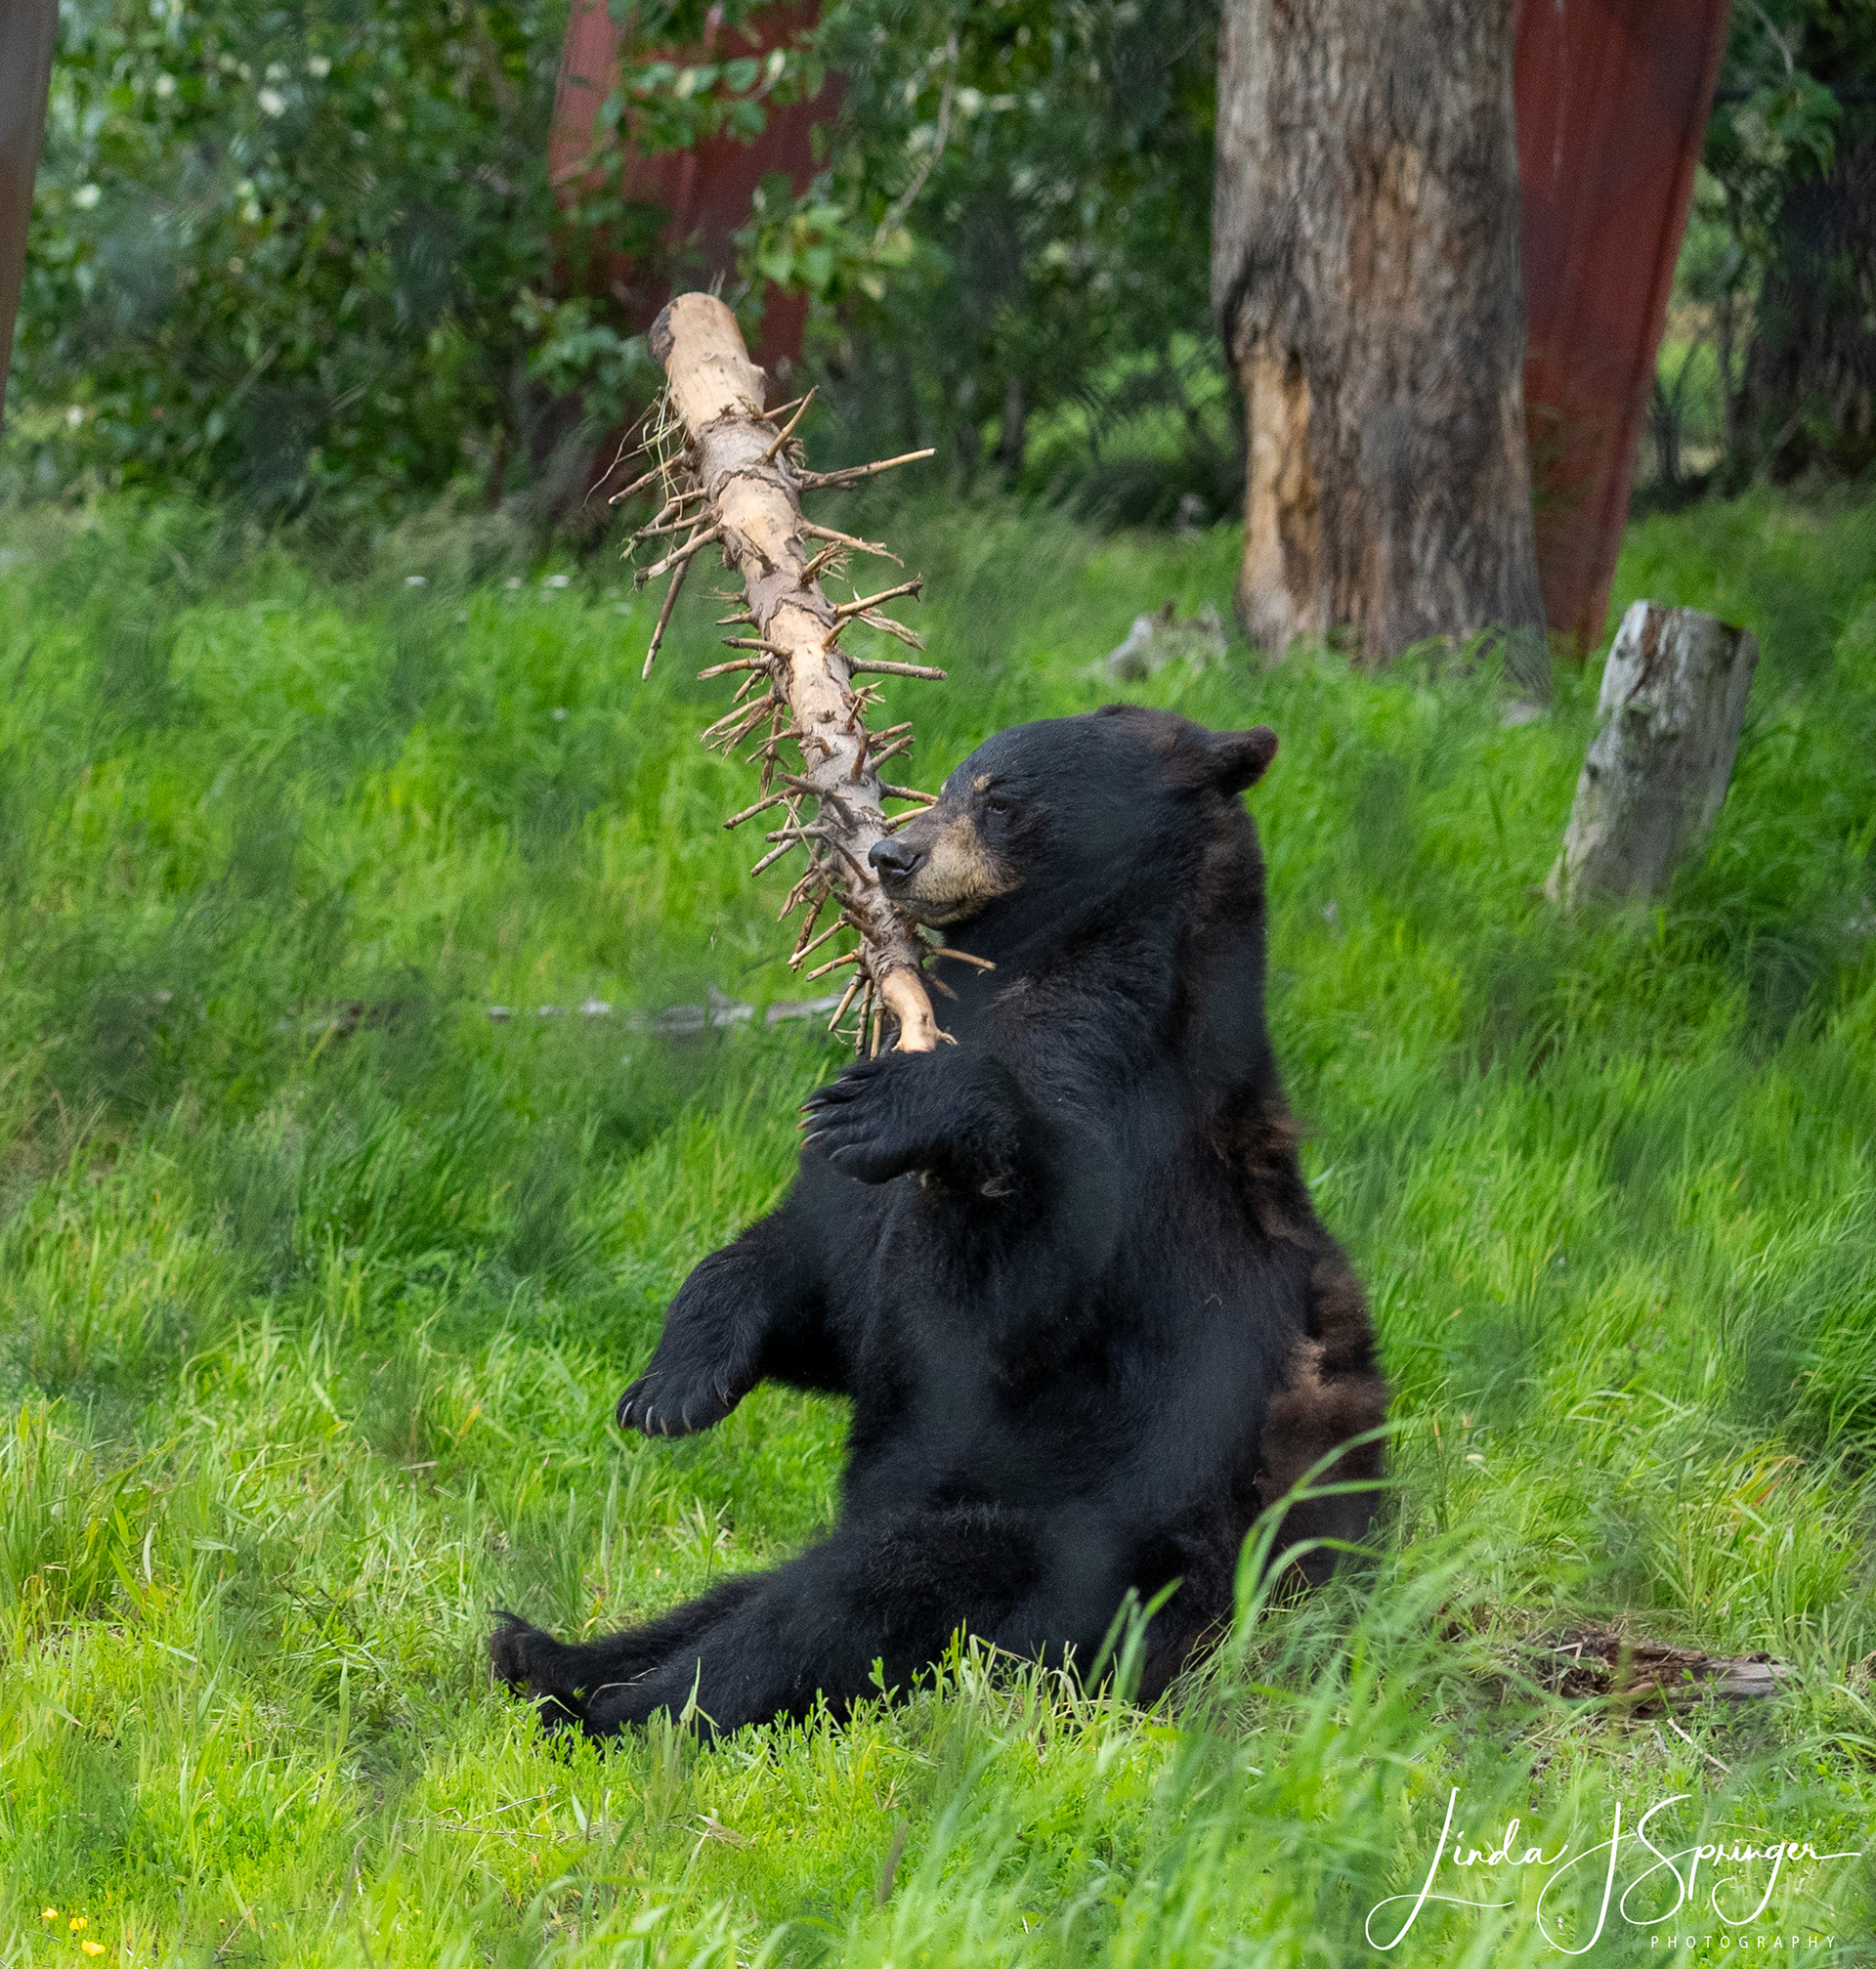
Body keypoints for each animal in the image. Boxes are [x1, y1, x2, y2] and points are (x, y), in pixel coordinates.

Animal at [490, 705, 1389, 1739]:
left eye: (1001, 799)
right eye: (952, 780)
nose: (889, 852)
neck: (1035, 961)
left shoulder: (1126, 1119)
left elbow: (992, 1304)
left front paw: (920, 1107)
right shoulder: (862, 1194)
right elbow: (822, 1274)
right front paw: (673, 1383)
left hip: (1095, 1564)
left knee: (864, 1598)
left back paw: (621, 1711)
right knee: (747, 1592)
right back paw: (548, 1651)